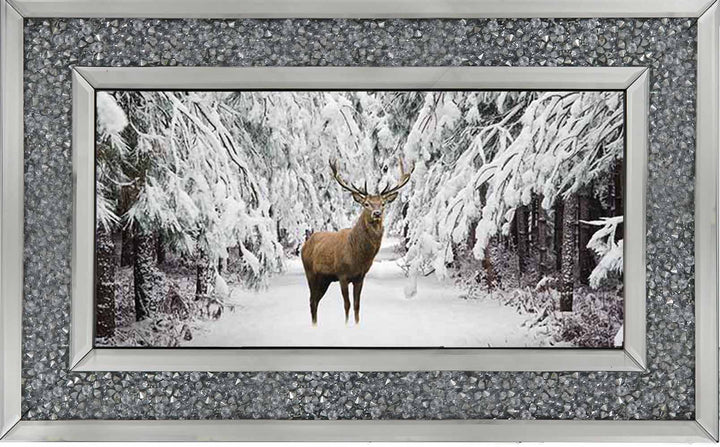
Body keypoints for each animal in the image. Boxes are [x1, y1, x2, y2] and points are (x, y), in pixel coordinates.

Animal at [301, 158, 414, 326]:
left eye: (383, 203)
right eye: (366, 203)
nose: (377, 213)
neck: (358, 256)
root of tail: (305, 244)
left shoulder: (360, 277)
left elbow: (357, 305)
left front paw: (357, 324)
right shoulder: (342, 274)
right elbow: (347, 305)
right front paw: (347, 325)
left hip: (325, 279)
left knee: (315, 300)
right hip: (310, 273)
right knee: (312, 300)